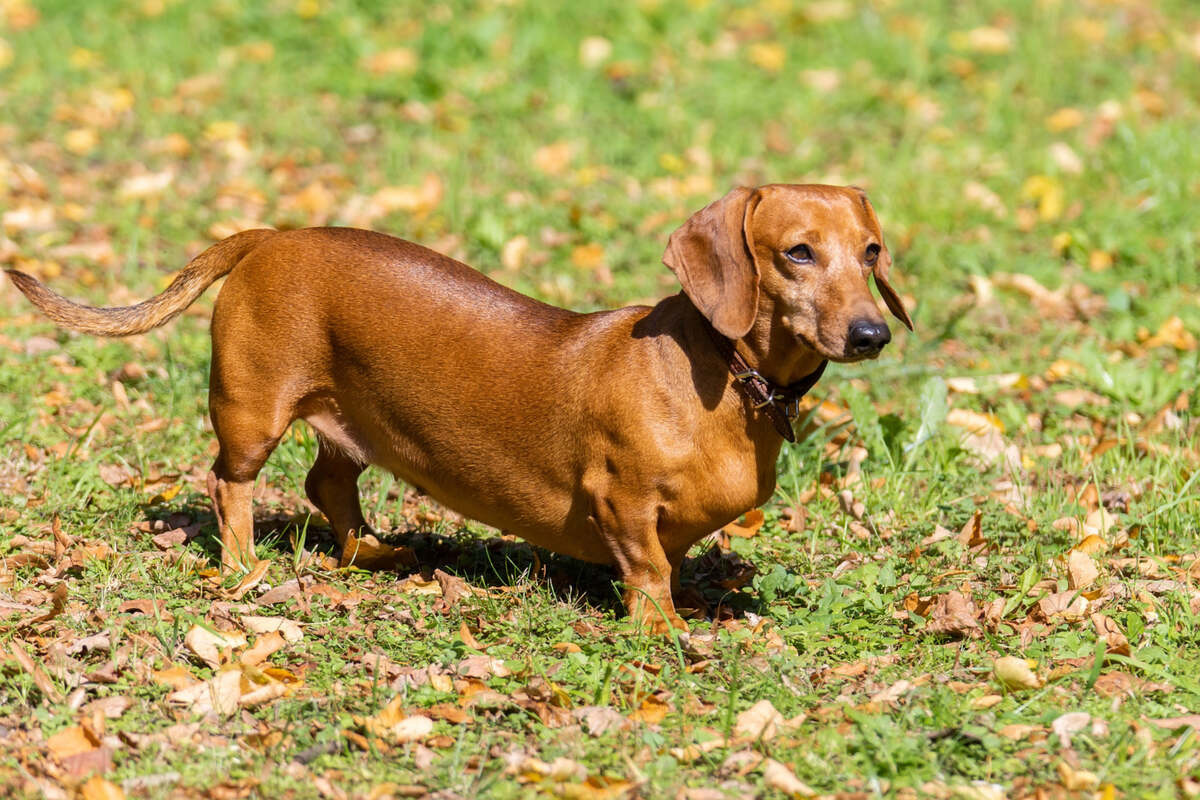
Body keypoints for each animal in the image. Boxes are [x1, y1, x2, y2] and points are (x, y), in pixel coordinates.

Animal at [7, 183, 907, 633]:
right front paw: (661, 632)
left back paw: (373, 552)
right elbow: (649, 568)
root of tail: (271, 236)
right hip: (251, 413)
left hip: (352, 426)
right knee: (230, 485)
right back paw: (242, 567)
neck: (722, 375)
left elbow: (671, 562)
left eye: (870, 252)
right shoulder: (619, 501)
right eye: (797, 252)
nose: (872, 334)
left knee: (328, 488)